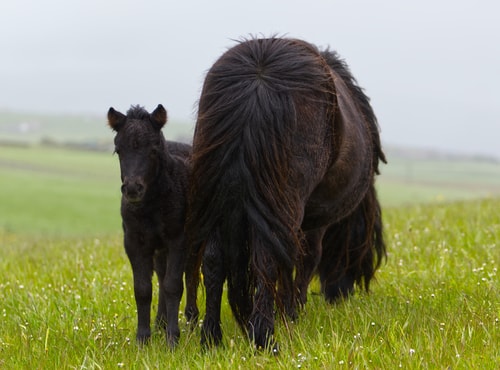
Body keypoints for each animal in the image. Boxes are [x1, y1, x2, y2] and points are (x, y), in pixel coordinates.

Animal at [108, 104, 199, 346]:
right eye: (118, 150)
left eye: (153, 150)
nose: (132, 188)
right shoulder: (134, 242)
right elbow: (143, 288)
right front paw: (142, 339)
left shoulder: (179, 240)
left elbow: (173, 285)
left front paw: (173, 340)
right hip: (159, 249)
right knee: (161, 275)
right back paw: (160, 322)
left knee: (192, 275)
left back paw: (192, 320)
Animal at [188, 37, 386, 350]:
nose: (340, 295)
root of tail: (259, 78)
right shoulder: (314, 220)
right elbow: (304, 260)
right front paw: (293, 312)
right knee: (267, 259)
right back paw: (264, 336)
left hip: (219, 201)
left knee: (214, 260)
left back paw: (211, 338)